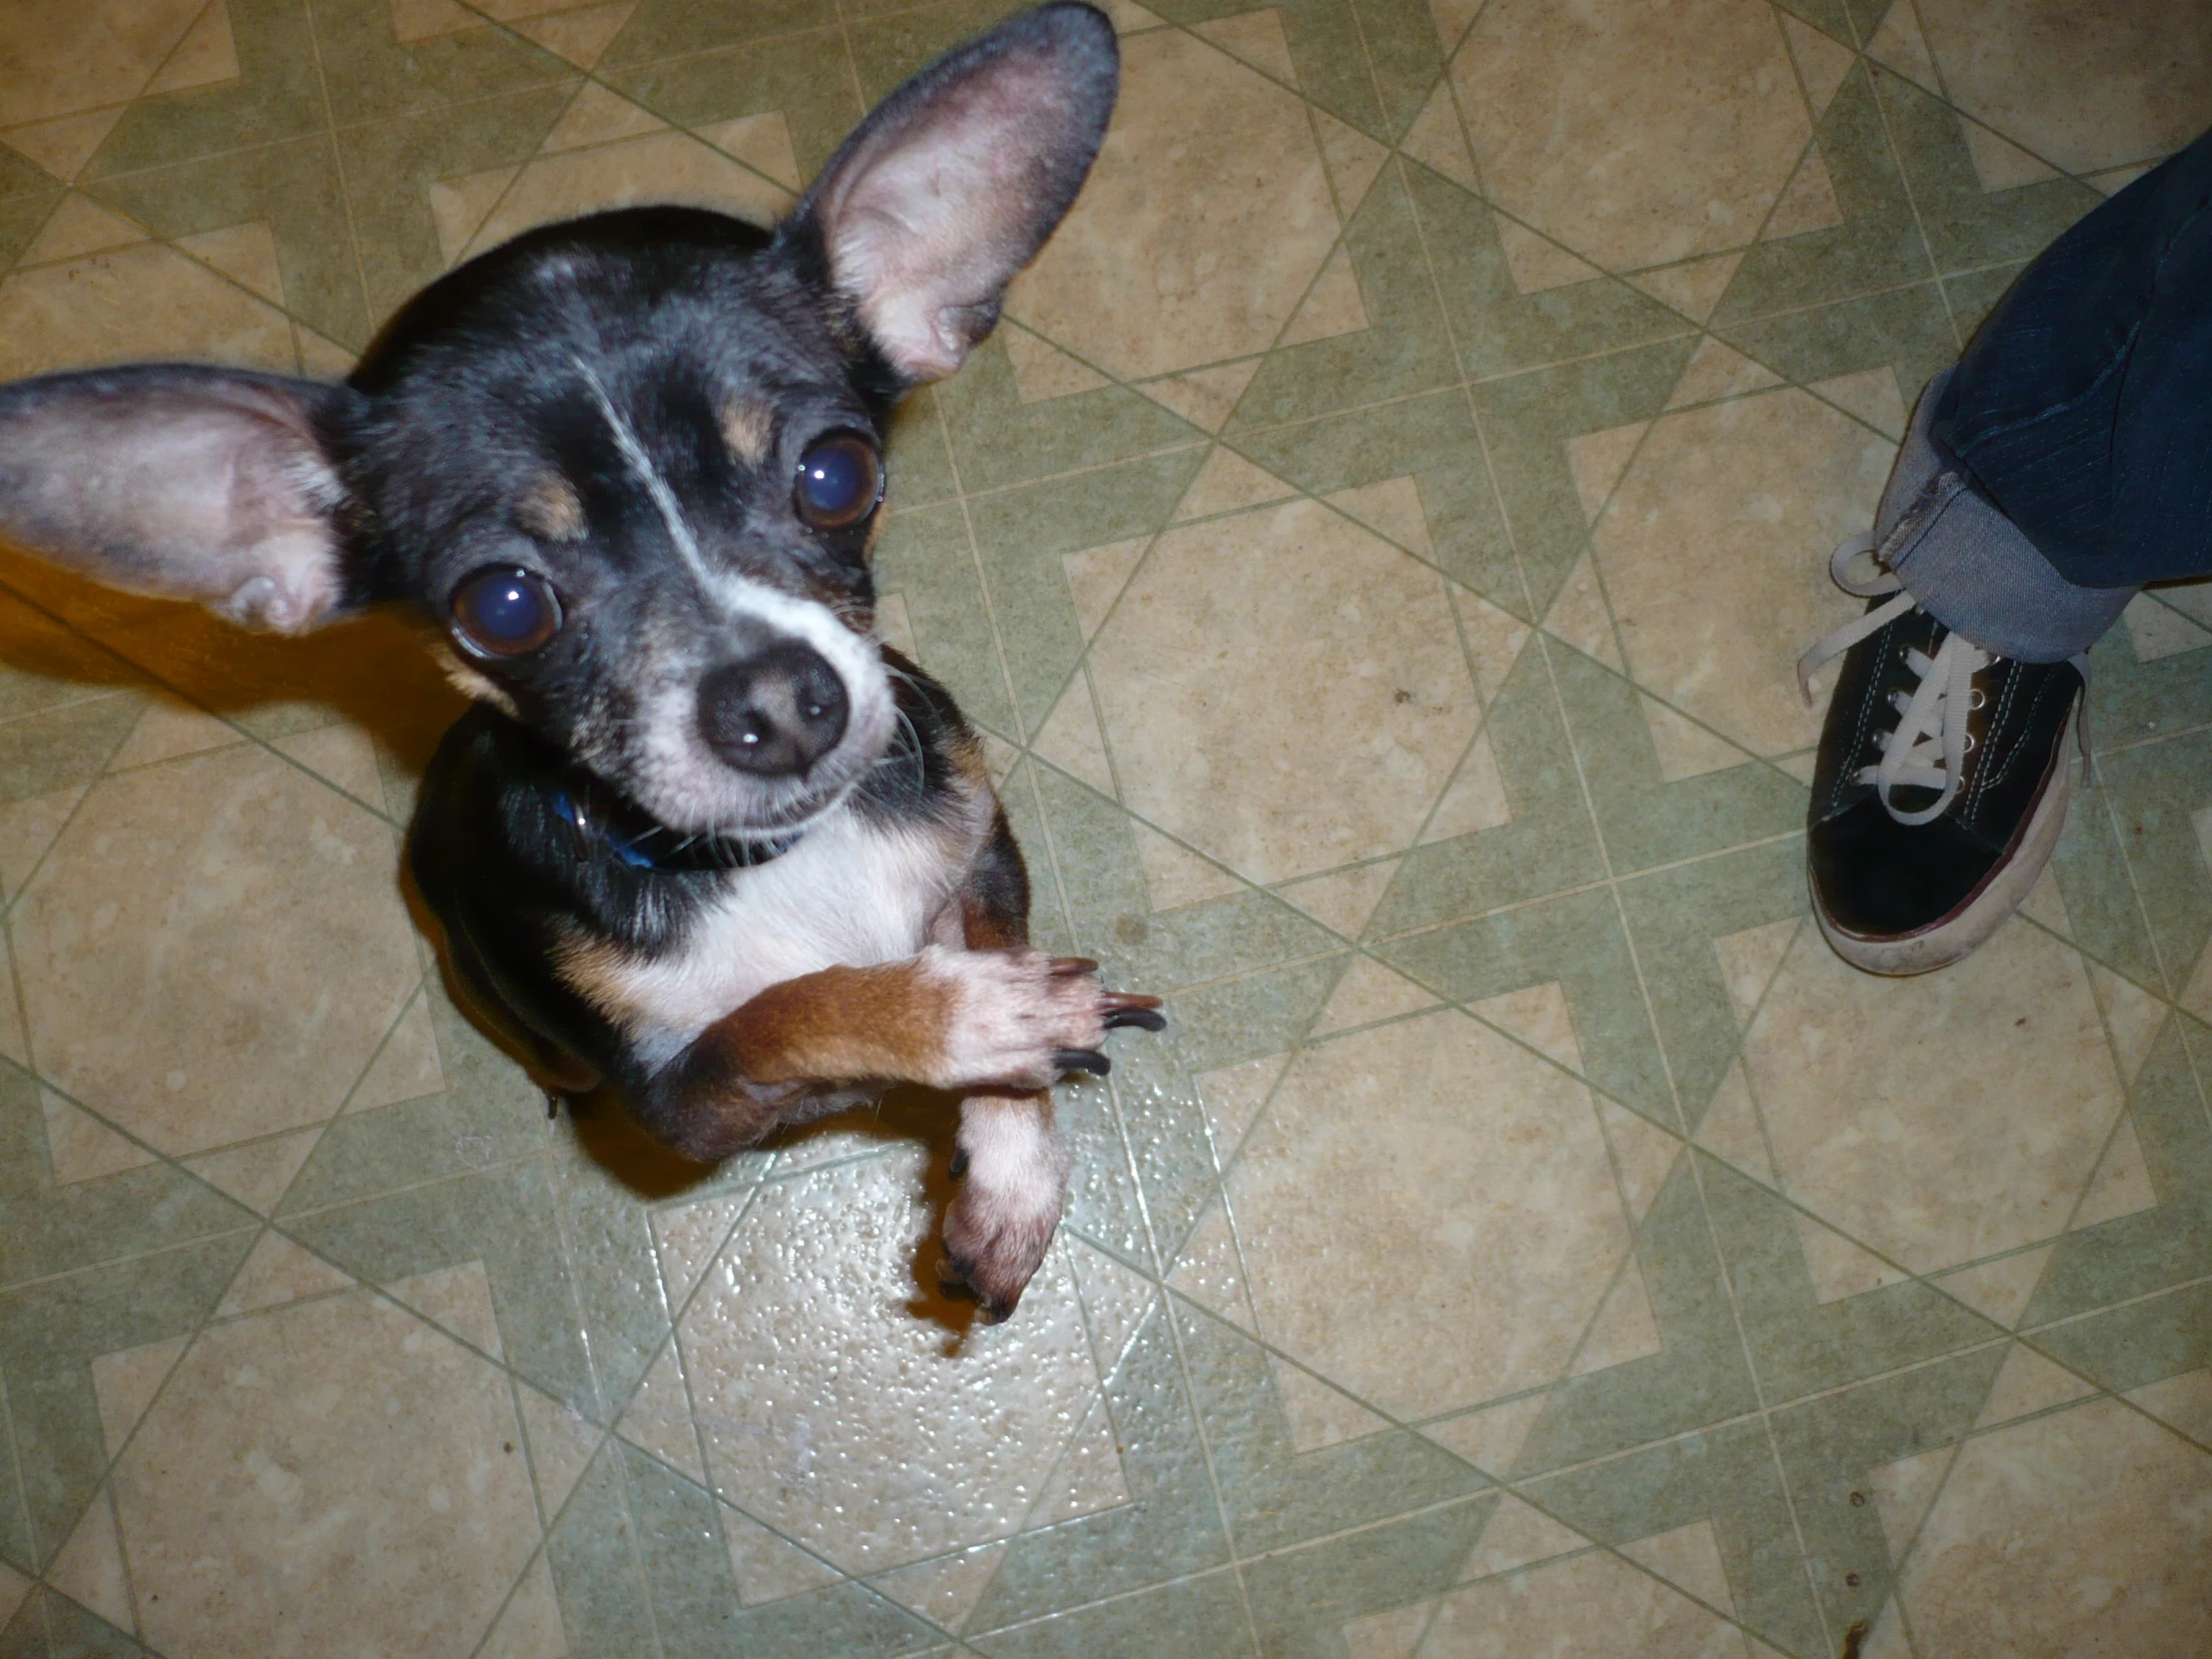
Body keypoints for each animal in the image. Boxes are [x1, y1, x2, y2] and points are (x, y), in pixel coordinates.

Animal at [0, 3, 1168, 1327]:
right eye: (501, 606)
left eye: (837, 475)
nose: (779, 703)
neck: (789, 863)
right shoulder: (690, 1104)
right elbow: (796, 1005)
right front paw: (957, 1016)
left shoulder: (979, 855)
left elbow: (997, 983)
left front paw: (1010, 1162)